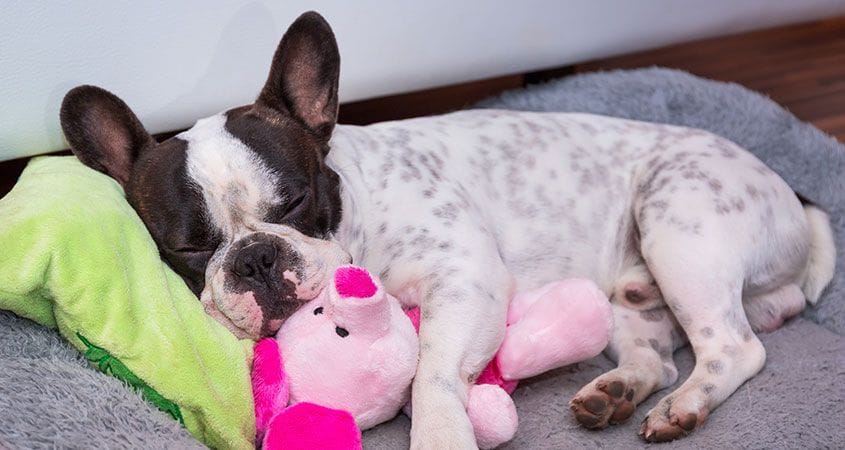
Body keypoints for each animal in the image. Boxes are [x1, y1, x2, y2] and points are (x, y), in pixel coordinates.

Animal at [57, 10, 832, 446]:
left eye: (296, 200)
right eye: (189, 246)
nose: (255, 259)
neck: (359, 214)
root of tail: (794, 201)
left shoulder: (465, 281)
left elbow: (432, 373)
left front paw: (437, 434)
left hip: (678, 224)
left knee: (732, 349)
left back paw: (682, 409)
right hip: (628, 299)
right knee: (659, 355)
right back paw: (615, 393)